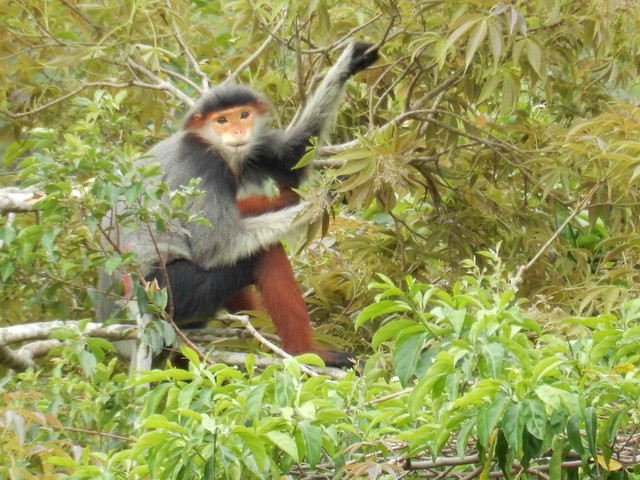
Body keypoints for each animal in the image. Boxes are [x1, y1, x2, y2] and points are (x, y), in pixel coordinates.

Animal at [102, 41, 378, 368]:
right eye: (221, 120)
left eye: (243, 115)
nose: (237, 132)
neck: (211, 143)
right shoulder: (204, 165)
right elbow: (215, 246)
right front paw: (325, 197)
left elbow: (291, 162)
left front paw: (348, 63)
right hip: (167, 293)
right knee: (261, 252)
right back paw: (305, 352)